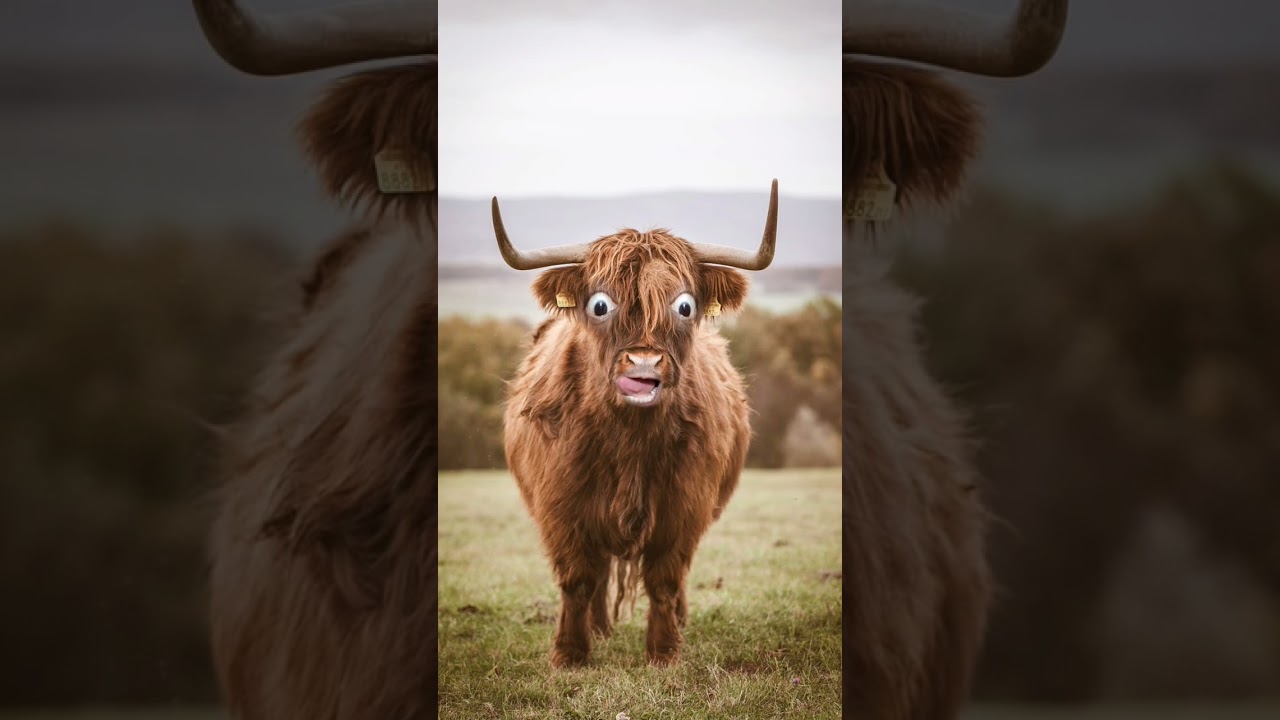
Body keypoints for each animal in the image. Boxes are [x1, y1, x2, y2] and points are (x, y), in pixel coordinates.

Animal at [494, 182, 779, 667]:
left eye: (685, 305)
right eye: (599, 305)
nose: (643, 365)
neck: (629, 439)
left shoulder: (684, 507)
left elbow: (664, 579)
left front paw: (664, 651)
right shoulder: (562, 507)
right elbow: (578, 580)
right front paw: (570, 653)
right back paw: (599, 629)